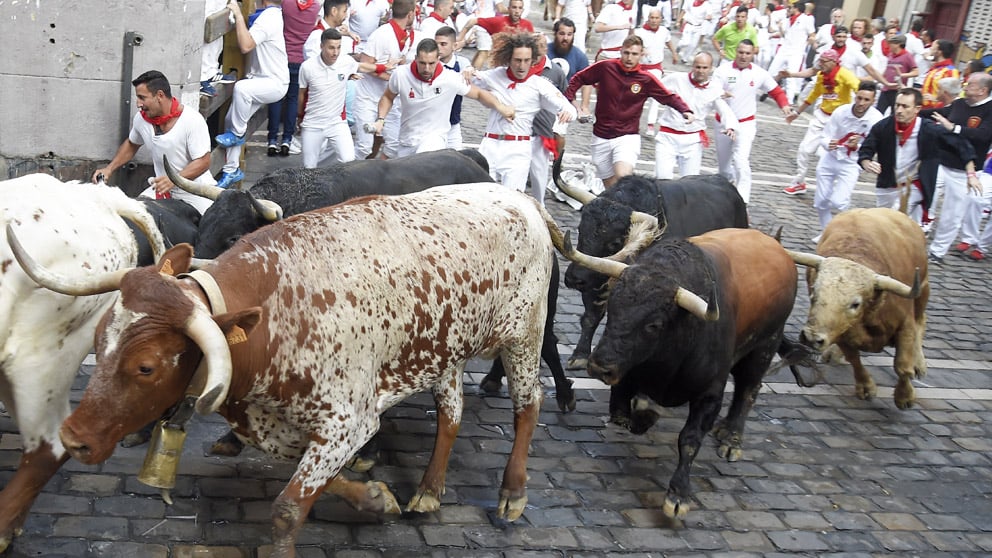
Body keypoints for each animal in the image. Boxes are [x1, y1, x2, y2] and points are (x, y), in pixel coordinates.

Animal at [7, 185, 556, 558]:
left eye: (146, 367)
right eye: (98, 340)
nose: (73, 438)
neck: (279, 308)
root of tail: (518, 196)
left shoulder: (348, 423)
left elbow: (289, 507)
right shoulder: (288, 428)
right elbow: (320, 481)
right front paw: (377, 499)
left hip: (524, 336)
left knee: (529, 406)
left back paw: (513, 493)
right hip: (445, 350)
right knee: (451, 413)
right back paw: (428, 489)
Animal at [788, 208, 928, 410]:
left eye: (855, 304)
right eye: (814, 292)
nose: (811, 338)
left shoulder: (905, 325)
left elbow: (902, 366)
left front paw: (905, 396)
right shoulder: (839, 333)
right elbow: (854, 359)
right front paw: (866, 387)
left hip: (923, 289)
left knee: (921, 321)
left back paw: (919, 363)